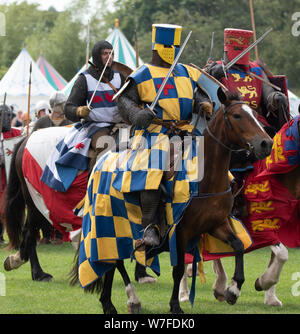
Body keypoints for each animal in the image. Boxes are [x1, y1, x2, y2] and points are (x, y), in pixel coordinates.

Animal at [69, 88, 272, 314]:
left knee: (112, 263)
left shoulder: (216, 224)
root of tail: (100, 161)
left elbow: (238, 246)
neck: (205, 179)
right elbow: (179, 269)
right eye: (237, 116)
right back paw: (131, 299)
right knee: (114, 261)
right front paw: (175, 304)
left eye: (254, 114)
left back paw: (109, 303)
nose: (266, 143)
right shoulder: (181, 232)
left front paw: (233, 290)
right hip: (107, 227)